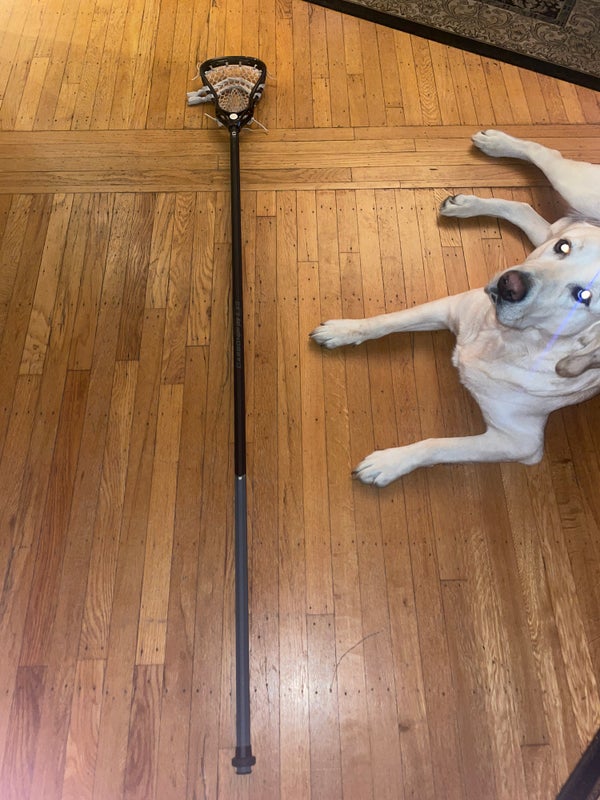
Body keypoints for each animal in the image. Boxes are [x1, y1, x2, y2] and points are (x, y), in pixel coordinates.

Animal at [310, 130, 600, 486]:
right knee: (539, 176)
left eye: (583, 296)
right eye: (564, 248)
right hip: (579, 193)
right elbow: (386, 320)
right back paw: (485, 168)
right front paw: (342, 330)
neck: (504, 340)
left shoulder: (518, 441)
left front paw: (387, 463)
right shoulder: (452, 306)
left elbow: (438, 445)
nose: (511, 284)